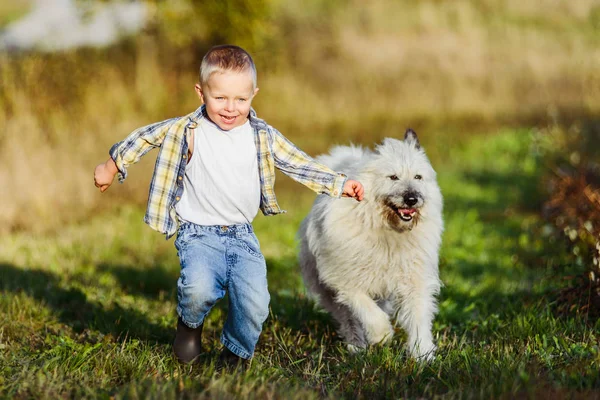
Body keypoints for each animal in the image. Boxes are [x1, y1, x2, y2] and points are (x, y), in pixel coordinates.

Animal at [298, 130, 442, 360]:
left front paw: (423, 355)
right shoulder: (345, 280)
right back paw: (357, 346)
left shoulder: (414, 279)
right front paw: (381, 335)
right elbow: (368, 311)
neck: (386, 230)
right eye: (393, 177)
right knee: (348, 318)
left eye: (418, 177)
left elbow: (418, 317)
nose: (412, 199)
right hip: (327, 289)